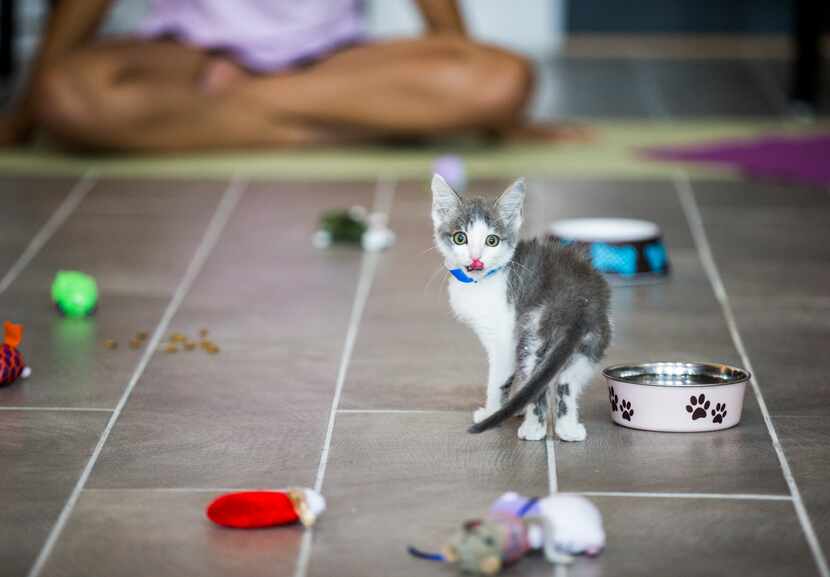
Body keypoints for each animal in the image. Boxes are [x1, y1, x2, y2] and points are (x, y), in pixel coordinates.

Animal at [432, 173, 616, 438]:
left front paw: (492, 412)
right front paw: (515, 406)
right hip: (593, 342)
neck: (483, 279)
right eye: (460, 238)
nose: (476, 258)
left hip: (534, 334)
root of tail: (579, 305)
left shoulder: (504, 339)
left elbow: (498, 380)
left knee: (538, 382)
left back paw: (533, 429)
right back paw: (569, 430)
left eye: (491, 240)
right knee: (565, 382)